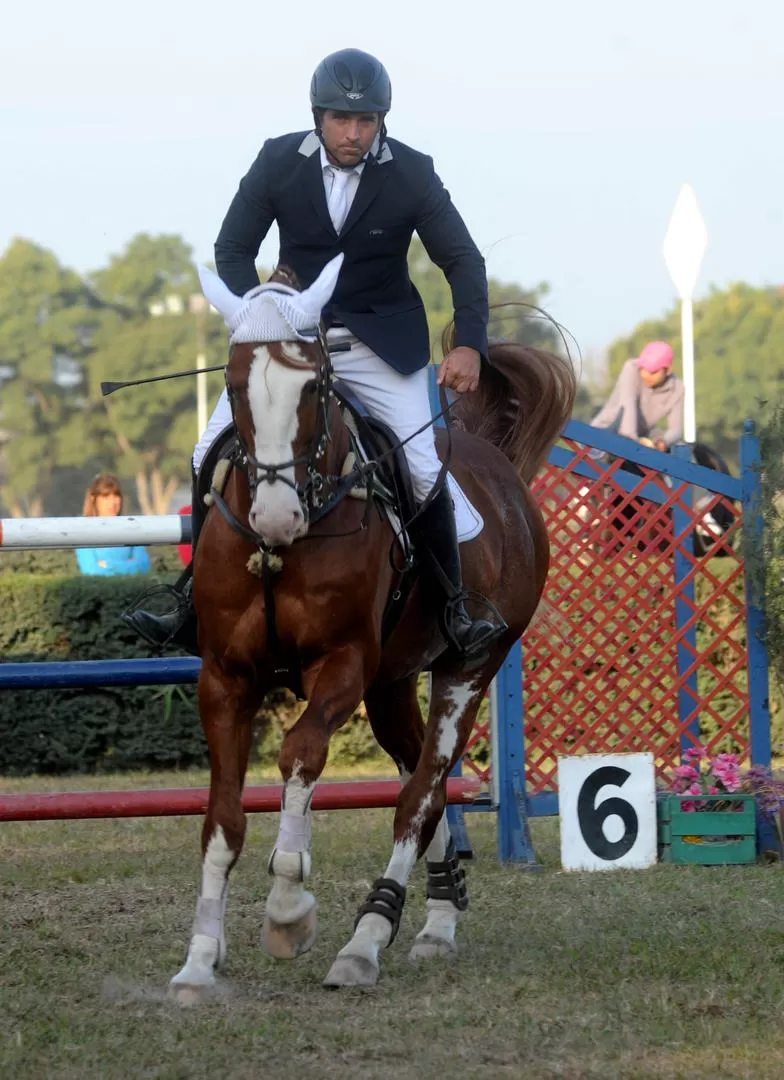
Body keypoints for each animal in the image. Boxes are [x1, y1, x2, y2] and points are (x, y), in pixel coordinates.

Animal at [168, 254, 576, 999]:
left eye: (314, 387)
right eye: (235, 387)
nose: (275, 519)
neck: (282, 549)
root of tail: (492, 460)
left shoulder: (344, 663)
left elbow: (300, 755)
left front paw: (288, 911)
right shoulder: (226, 677)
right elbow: (222, 822)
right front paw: (199, 961)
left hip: (466, 669)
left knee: (418, 794)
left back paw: (365, 941)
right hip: (391, 686)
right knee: (427, 787)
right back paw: (437, 921)